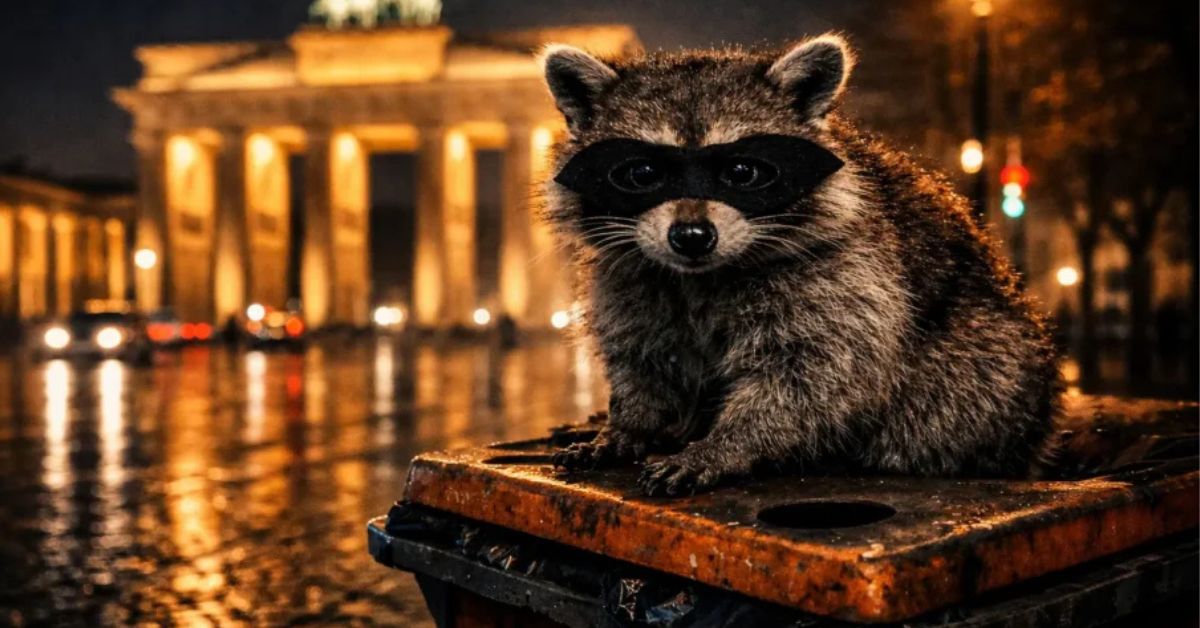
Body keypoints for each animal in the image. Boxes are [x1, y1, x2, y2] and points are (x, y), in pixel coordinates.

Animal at [540, 34, 1061, 496]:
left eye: (742, 171)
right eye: (643, 173)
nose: (691, 237)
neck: (702, 277)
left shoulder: (849, 276)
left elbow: (815, 373)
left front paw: (728, 443)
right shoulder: (632, 280)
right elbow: (643, 358)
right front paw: (631, 423)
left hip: (988, 368)